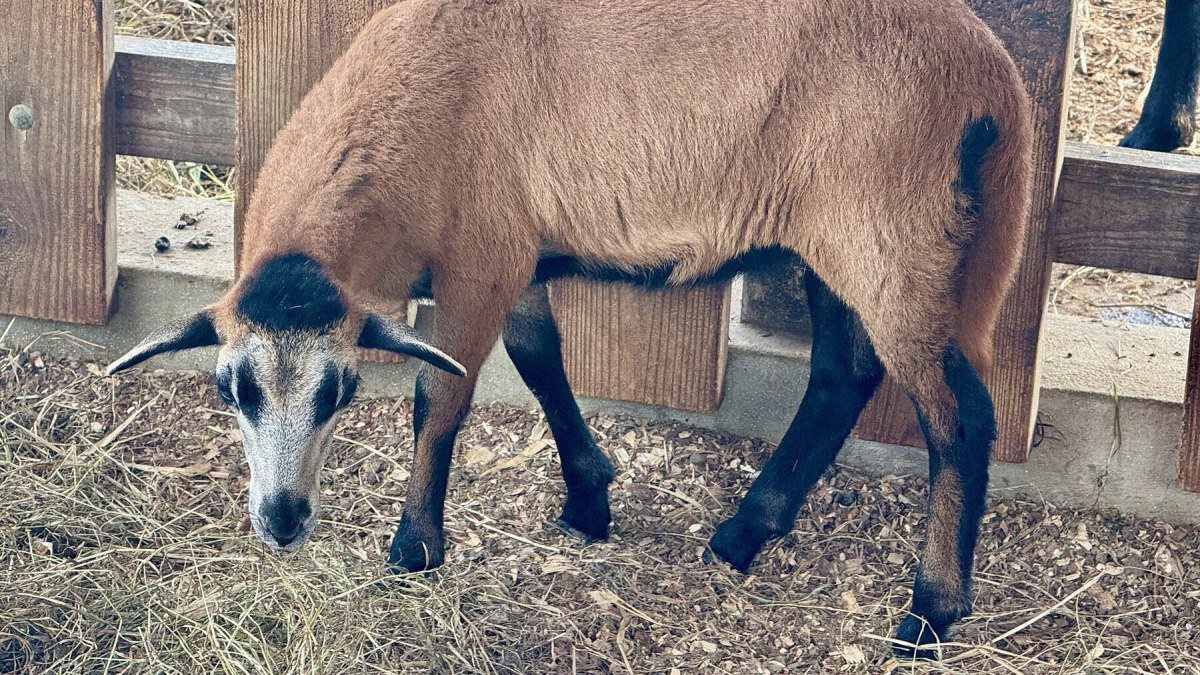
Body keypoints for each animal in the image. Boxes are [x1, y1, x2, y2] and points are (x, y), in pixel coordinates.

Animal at [108, 0, 1033, 657]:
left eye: (340, 390)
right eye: (232, 389)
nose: (281, 520)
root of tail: (997, 83)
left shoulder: (481, 260)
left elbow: (440, 396)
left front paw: (414, 545)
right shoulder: (512, 255)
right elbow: (540, 359)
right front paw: (589, 497)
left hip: (895, 240)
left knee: (959, 417)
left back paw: (930, 611)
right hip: (840, 243)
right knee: (844, 375)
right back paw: (743, 533)